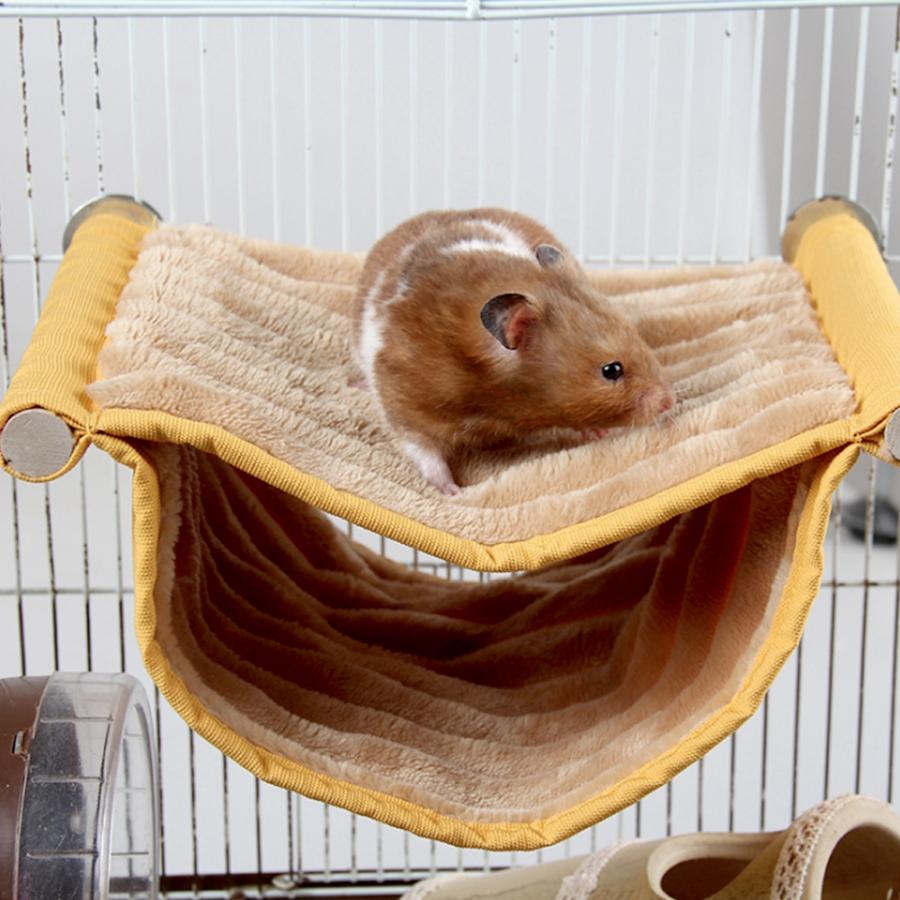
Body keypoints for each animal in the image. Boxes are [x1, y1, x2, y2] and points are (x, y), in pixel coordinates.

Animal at [351, 208, 674, 495]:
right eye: (612, 370)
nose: (668, 402)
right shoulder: (403, 399)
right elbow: (423, 449)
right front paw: (454, 492)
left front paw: (597, 432)